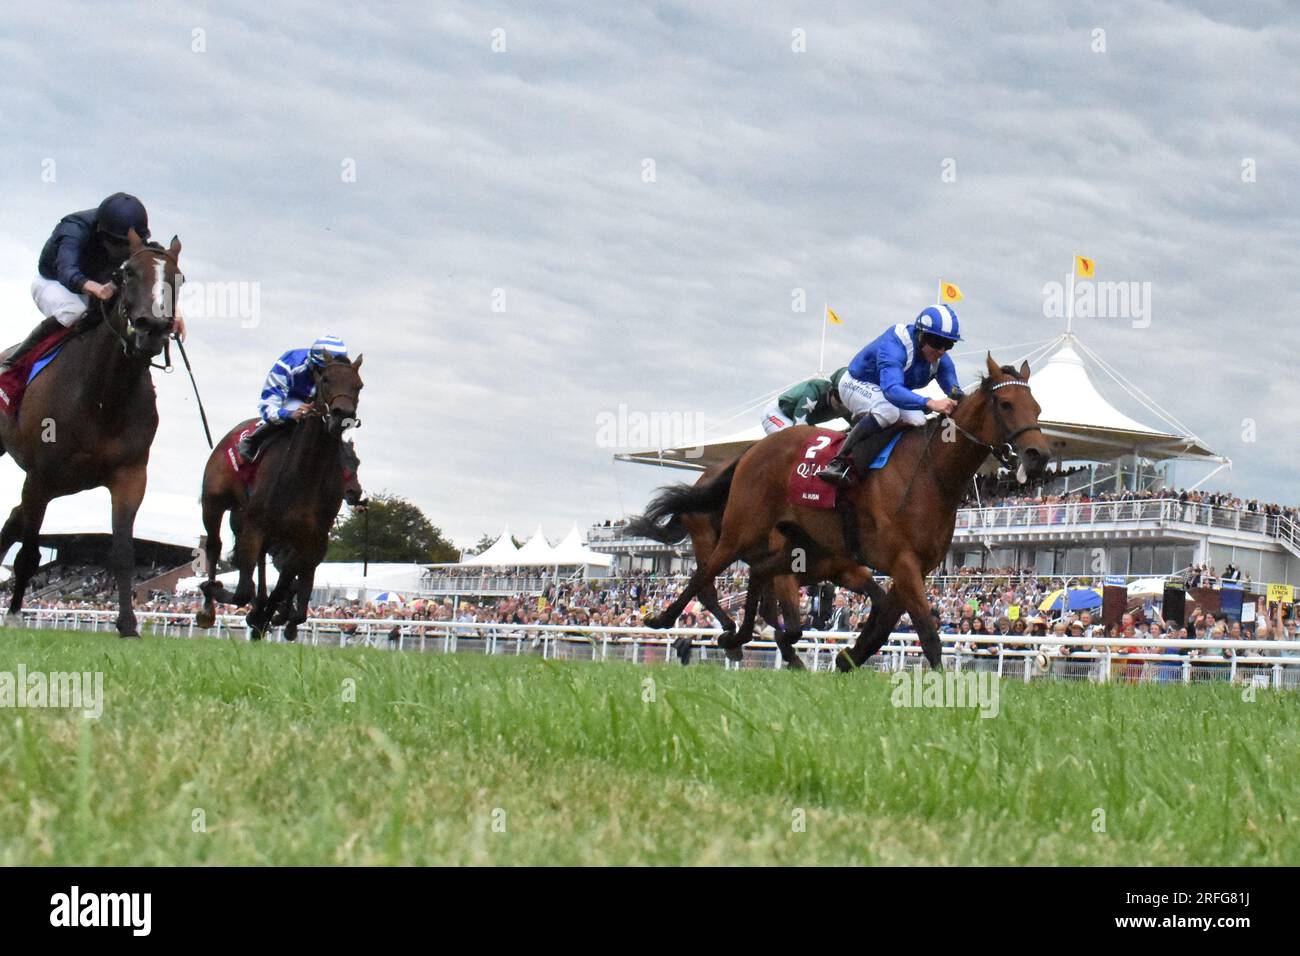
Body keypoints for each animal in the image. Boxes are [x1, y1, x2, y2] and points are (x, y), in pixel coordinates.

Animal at [0, 227, 183, 639]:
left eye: (178, 278)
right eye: (128, 273)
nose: (153, 328)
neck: (102, 396)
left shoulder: (130, 474)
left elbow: (123, 552)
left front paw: (128, 625)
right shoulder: (40, 475)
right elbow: (29, 554)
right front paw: (15, 613)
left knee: (14, 517)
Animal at [195, 356, 364, 639]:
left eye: (359, 385)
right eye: (325, 379)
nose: (343, 415)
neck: (304, 475)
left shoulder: (310, 541)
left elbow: (288, 586)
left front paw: (271, 616)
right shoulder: (256, 528)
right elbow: (245, 591)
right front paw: (253, 609)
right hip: (215, 503)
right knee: (215, 545)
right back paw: (210, 604)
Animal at [634, 356, 1050, 671]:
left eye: (1038, 408)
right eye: (1006, 404)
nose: (1038, 455)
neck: (930, 472)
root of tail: (751, 451)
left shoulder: (904, 567)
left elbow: (884, 622)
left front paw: (847, 657)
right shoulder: (900, 561)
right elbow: (926, 631)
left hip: (795, 547)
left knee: (756, 573)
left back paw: (737, 636)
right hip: (741, 529)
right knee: (705, 576)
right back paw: (665, 619)